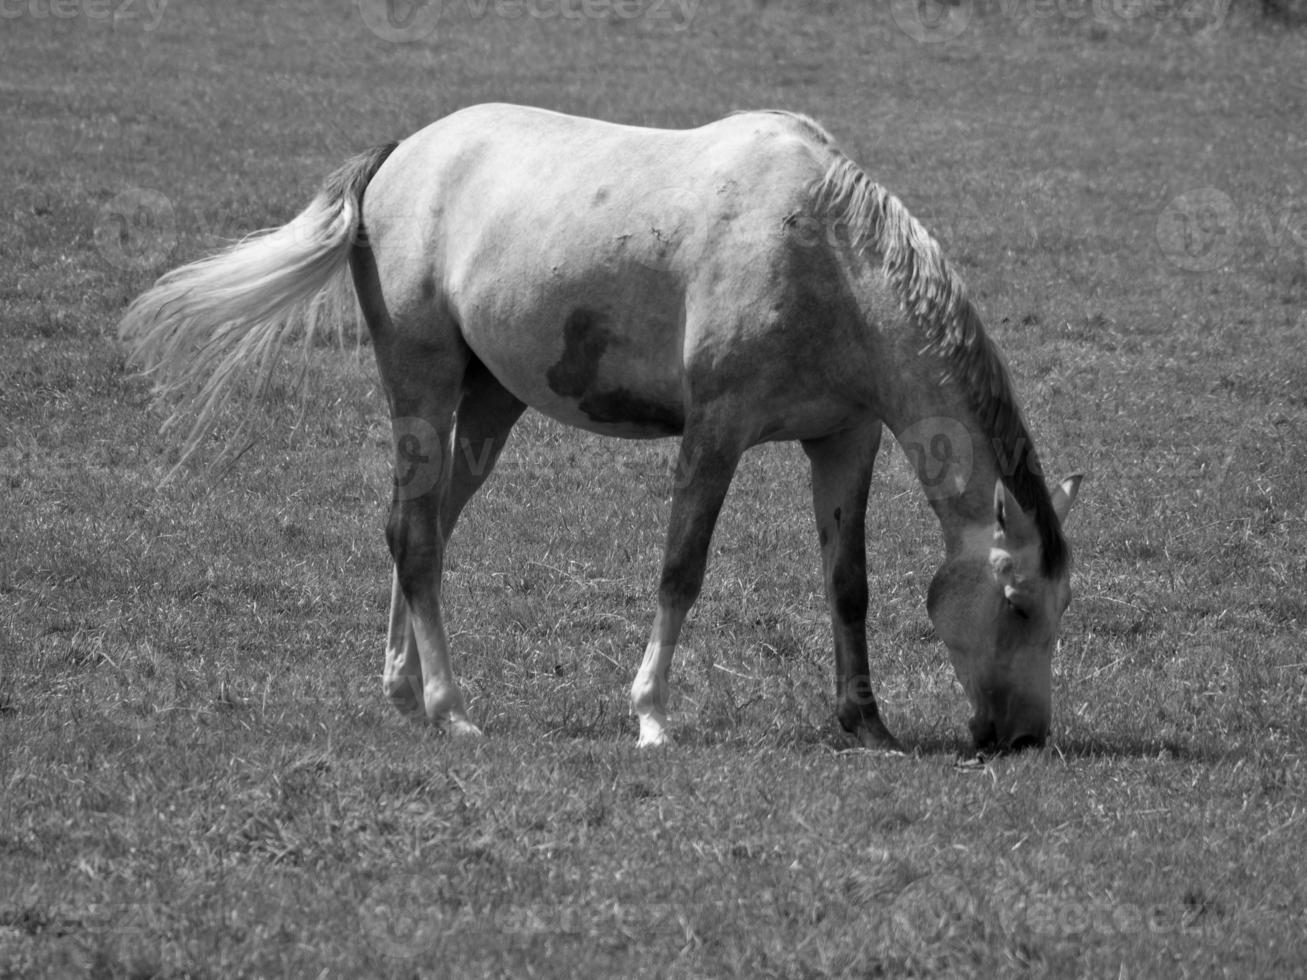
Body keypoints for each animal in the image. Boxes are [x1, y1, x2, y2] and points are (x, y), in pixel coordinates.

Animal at [122, 103, 1082, 757]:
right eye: (1018, 603)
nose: (1023, 737)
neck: (828, 255)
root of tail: (403, 155)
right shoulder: (715, 433)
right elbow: (680, 570)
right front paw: (651, 715)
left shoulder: (844, 441)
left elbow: (847, 585)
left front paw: (865, 722)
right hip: (421, 392)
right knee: (416, 538)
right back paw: (448, 708)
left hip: (489, 409)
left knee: (423, 528)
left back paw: (402, 688)